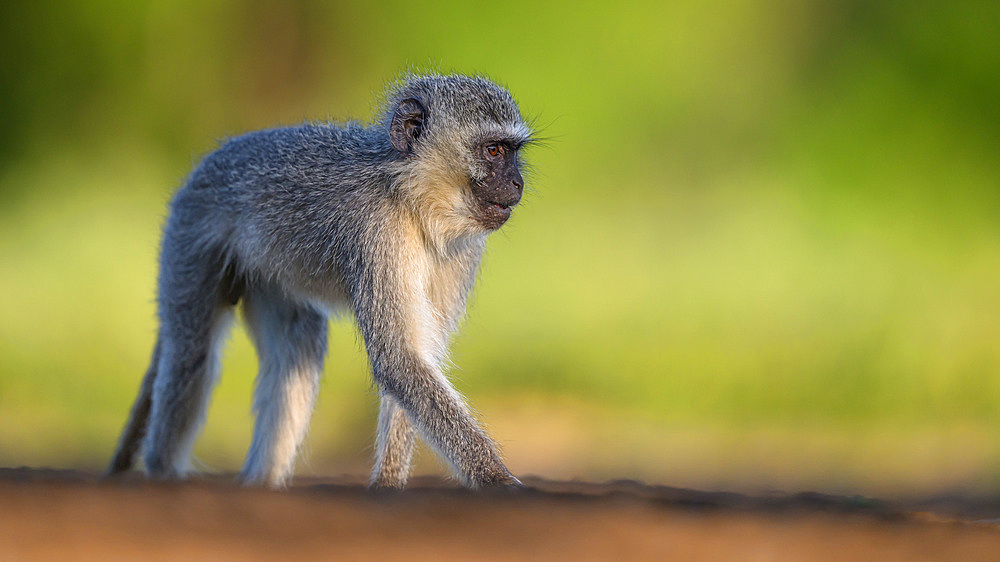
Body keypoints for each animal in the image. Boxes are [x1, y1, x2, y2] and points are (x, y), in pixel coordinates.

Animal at [106, 73, 536, 486]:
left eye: (513, 152)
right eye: (493, 151)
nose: (517, 183)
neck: (412, 199)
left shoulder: (461, 253)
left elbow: (416, 358)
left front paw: (388, 483)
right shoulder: (377, 230)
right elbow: (400, 359)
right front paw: (495, 478)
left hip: (267, 274)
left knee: (298, 348)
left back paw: (261, 483)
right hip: (190, 233)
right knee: (190, 355)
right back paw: (163, 473)